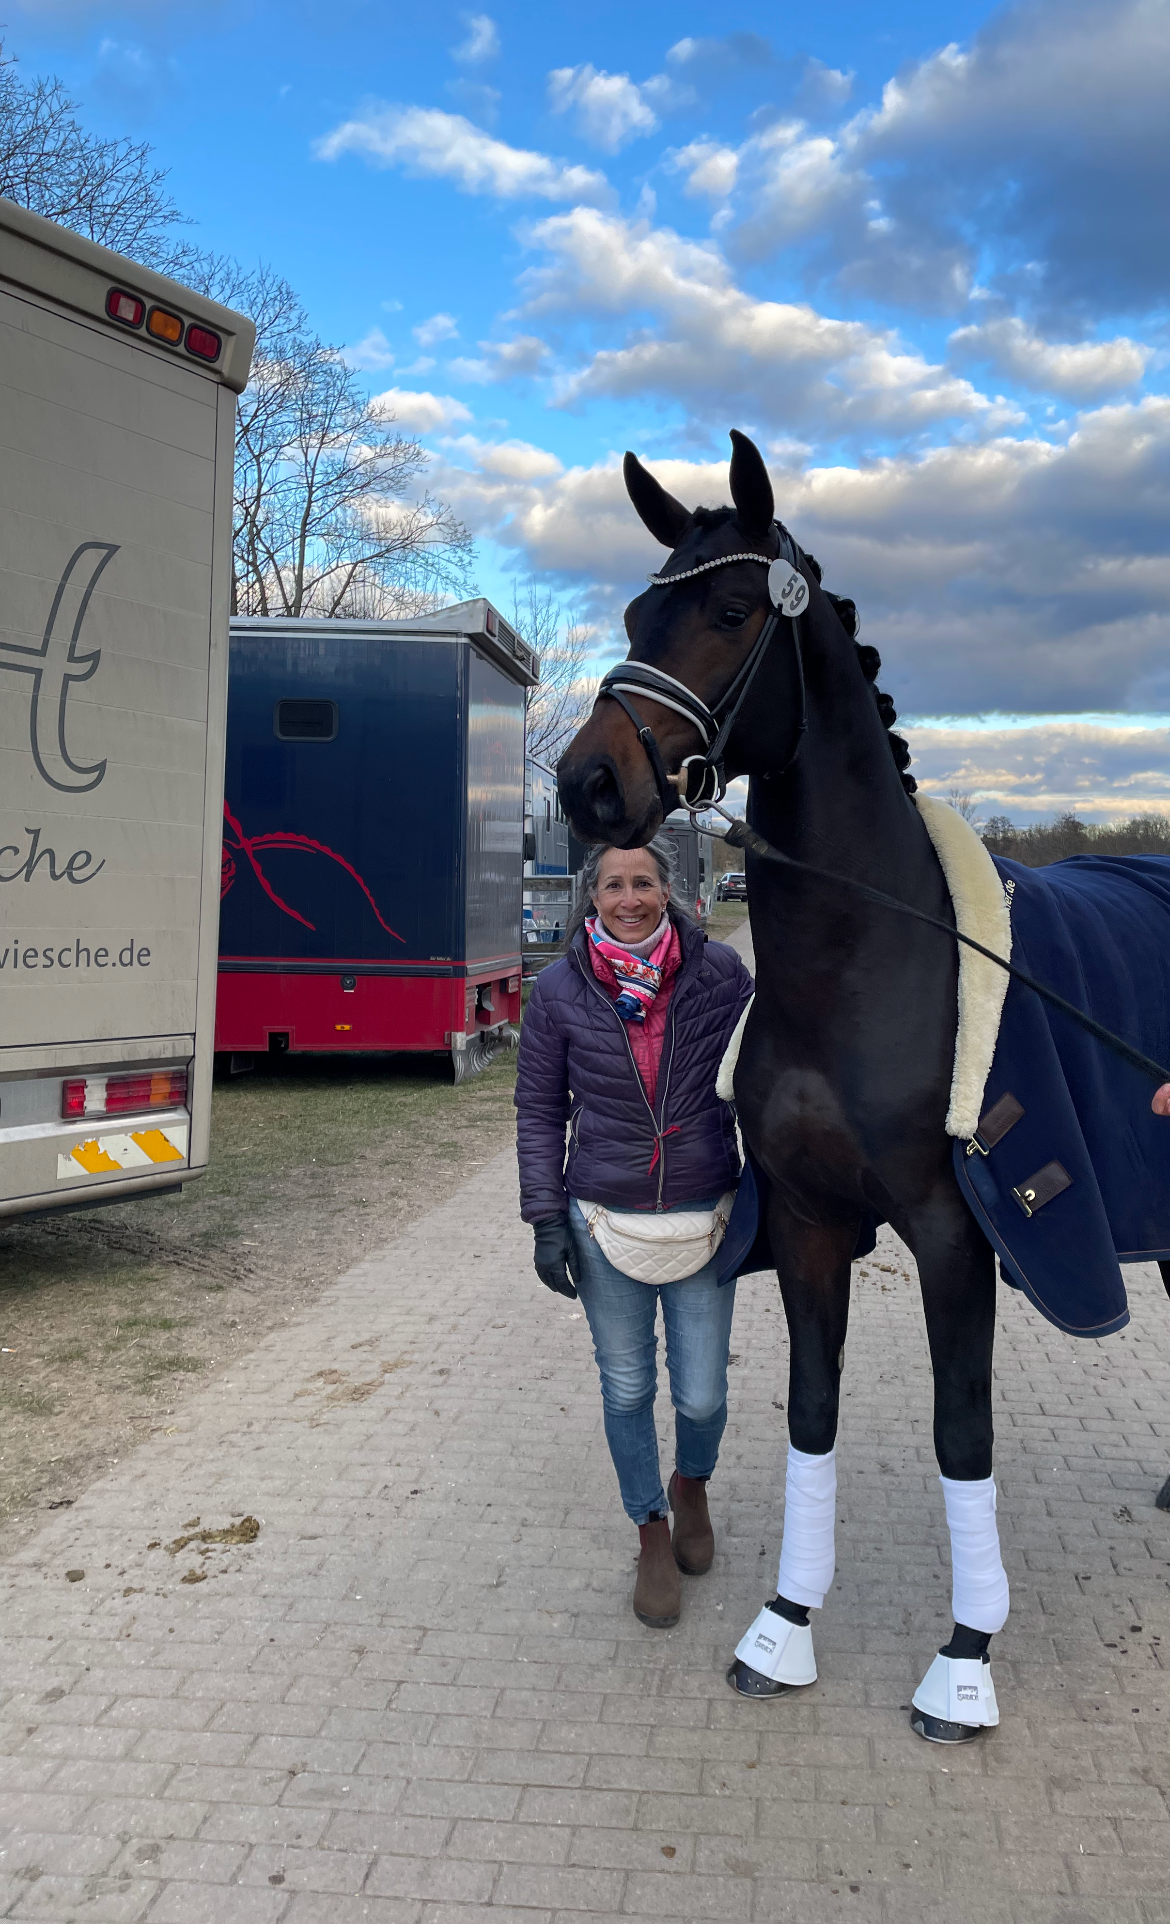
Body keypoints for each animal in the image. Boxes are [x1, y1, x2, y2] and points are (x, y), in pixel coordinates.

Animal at [557, 429, 1170, 1743]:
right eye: (636, 609)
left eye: (731, 611)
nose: (587, 784)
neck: (868, 961)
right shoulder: (808, 1222)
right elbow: (810, 1412)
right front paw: (784, 1625)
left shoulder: (955, 1233)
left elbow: (961, 1430)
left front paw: (965, 1659)